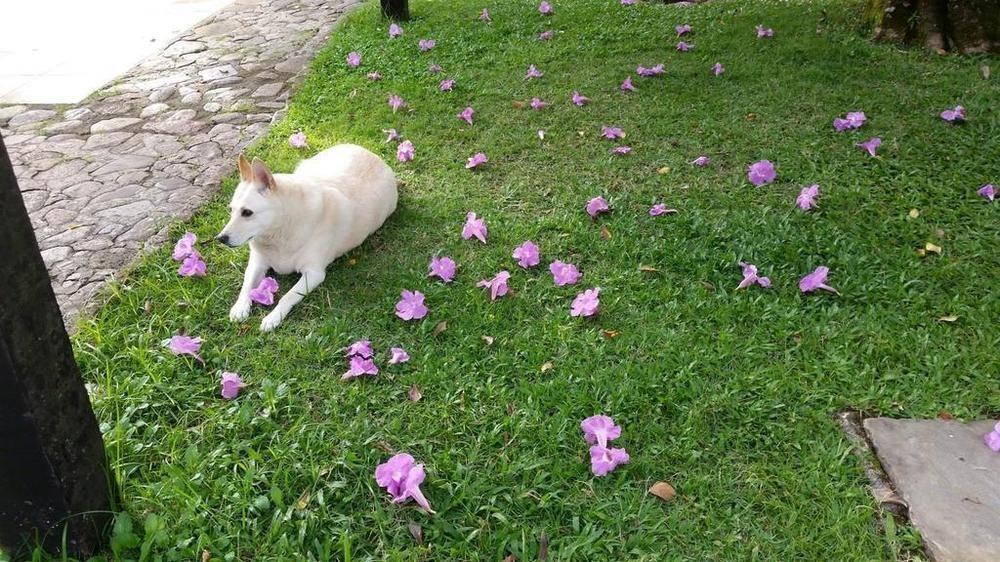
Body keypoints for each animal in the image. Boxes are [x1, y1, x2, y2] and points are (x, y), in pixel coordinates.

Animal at [217, 142, 396, 330]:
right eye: (231, 210)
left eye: (247, 212)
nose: (220, 238)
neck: (281, 230)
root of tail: (368, 152)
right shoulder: (257, 263)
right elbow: (246, 285)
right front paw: (240, 307)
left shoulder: (314, 273)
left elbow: (288, 296)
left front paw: (273, 317)